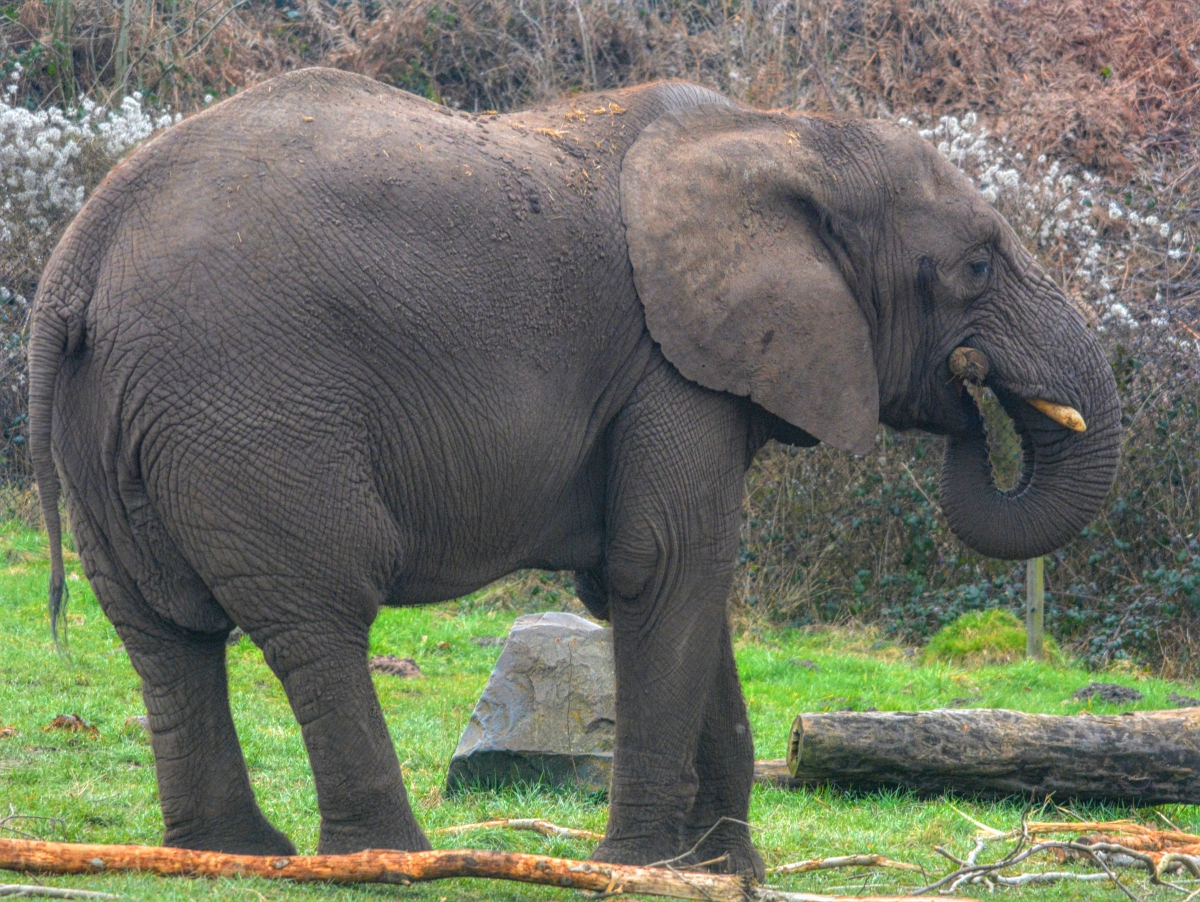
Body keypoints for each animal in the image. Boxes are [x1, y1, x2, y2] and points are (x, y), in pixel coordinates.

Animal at [28, 68, 1120, 876]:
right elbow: (665, 568)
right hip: (250, 408)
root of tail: (80, 257)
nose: (974, 383)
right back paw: (389, 861)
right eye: (976, 265)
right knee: (318, 614)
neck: (788, 134)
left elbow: (676, 587)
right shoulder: (668, 369)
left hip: (122, 427)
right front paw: (641, 870)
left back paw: (232, 855)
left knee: (164, 635)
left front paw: (725, 876)